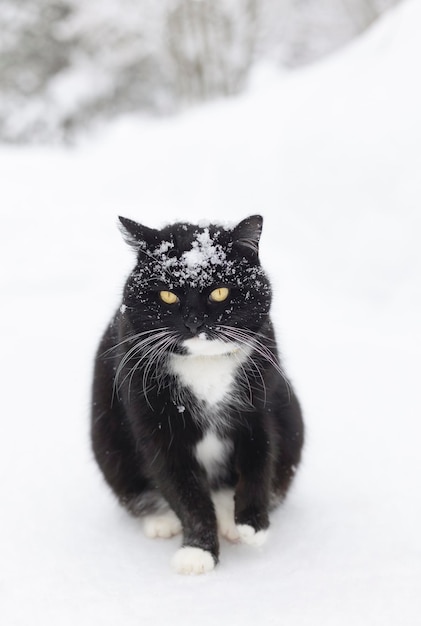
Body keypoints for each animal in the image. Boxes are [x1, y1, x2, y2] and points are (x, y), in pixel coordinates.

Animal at [91, 213, 302, 572]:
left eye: (219, 292)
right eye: (167, 296)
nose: (193, 322)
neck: (204, 365)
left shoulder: (260, 402)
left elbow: (259, 458)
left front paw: (252, 524)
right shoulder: (155, 424)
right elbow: (184, 492)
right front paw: (198, 551)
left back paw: (229, 520)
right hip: (108, 441)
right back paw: (162, 520)